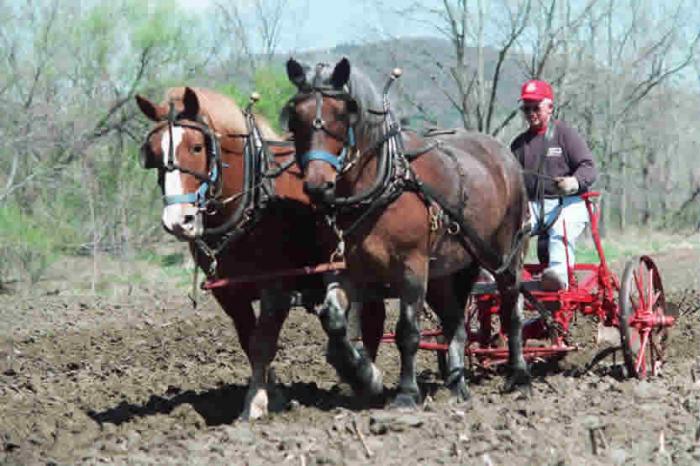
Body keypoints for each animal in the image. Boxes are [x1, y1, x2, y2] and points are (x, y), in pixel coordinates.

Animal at [135, 86, 388, 418]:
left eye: (196, 147)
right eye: (152, 153)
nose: (178, 221)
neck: (253, 203)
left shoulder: (276, 288)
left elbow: (263, 343)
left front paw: (255, 405)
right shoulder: (229, 293)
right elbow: (248, 341)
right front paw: (274, 395)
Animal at [284, 58, 532, 408]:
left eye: (344, 113)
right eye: (295, 117)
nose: (318, 186)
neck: (382, 185)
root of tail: (503, 155)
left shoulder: (412, 268)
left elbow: (408, 332)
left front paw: (406, 394)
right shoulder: (341, 267)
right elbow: (334, 321)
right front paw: (364, 376)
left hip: (504, 256)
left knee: (512, 310)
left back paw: (519, 377)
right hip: (448, 270)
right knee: (455, 324)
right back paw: (457, 385)